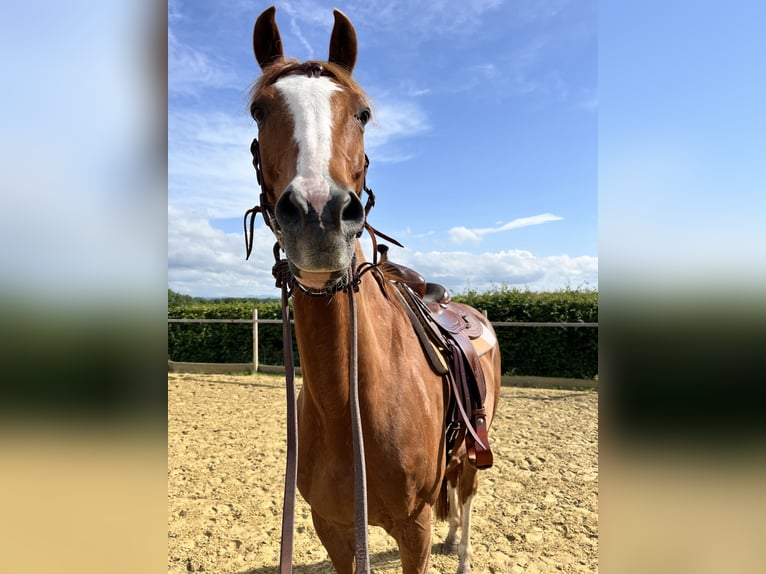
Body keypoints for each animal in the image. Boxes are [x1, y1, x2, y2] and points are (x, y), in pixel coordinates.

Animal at [248, 5, 504, 574]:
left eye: (362, 113)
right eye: (258, 111)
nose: (319, 216)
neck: (350, 406)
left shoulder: (414, 528)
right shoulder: (334, 528)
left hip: (475, 447)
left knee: (467, 496)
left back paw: (462, 553)